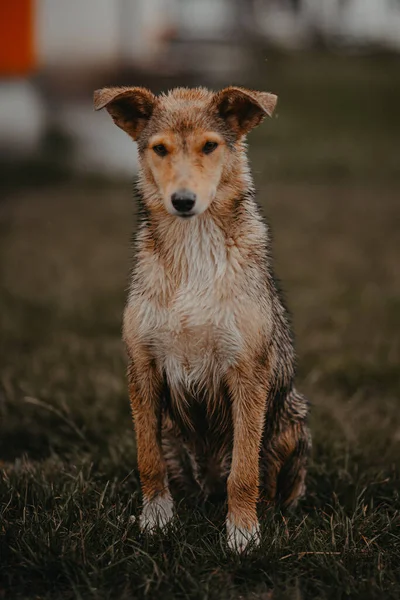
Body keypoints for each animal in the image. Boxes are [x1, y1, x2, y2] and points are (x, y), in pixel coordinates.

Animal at [94, 84, 312, 552]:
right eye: (160, 149)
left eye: (210, 146)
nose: (182, 201)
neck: (192, 247)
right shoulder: (142, 367)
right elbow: (148, 461)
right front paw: (156, 520)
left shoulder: (248, 372)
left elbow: (244, 472)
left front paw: (243, 534)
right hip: (173, 433)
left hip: (293, 420)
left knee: (270, 487)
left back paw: (267, 514)